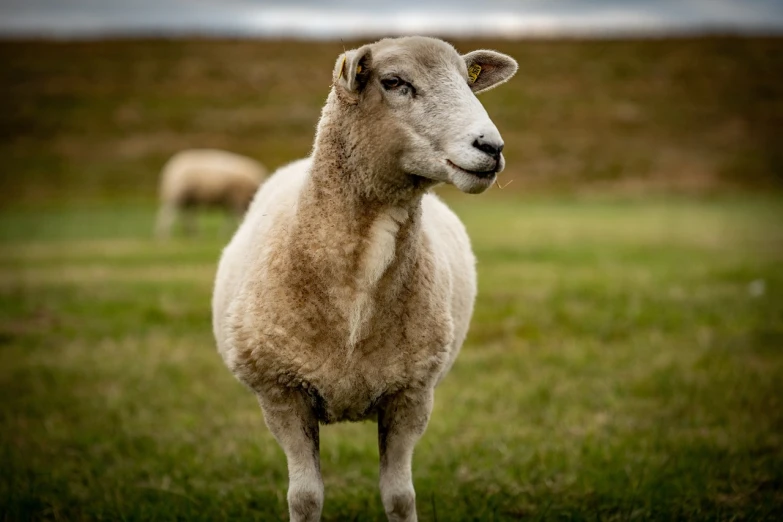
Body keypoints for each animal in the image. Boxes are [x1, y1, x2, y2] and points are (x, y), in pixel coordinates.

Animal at [211, 36, 516, 520]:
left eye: (467, 82)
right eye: (394, 83)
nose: (491, 146)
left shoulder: (411, 393)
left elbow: (400, 496)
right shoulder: (281, 391)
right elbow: (305, 497)